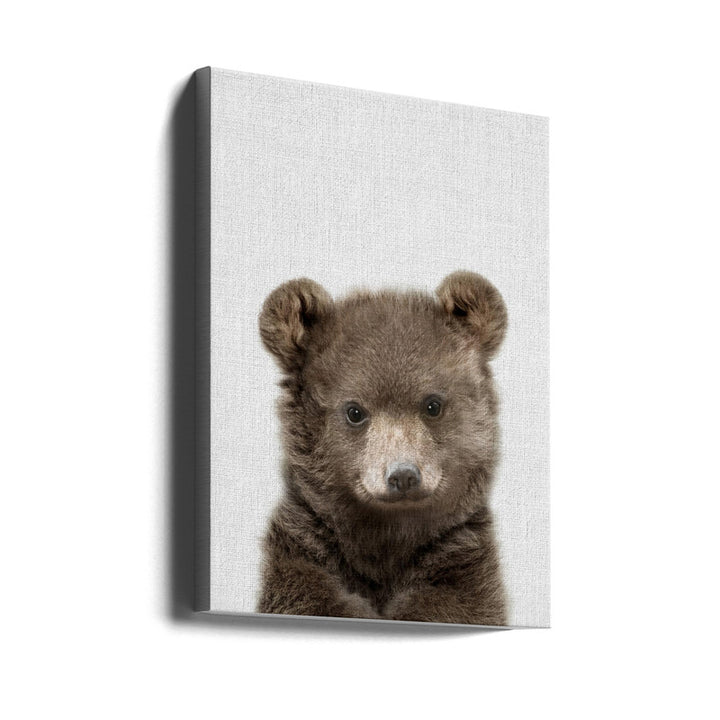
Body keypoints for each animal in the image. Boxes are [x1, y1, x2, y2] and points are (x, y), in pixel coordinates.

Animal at [256, 271, 508, 625]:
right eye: (354, 411)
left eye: (433, 404)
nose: (403, 476)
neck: (386, 539)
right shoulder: (304, 558)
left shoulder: (461, 567)